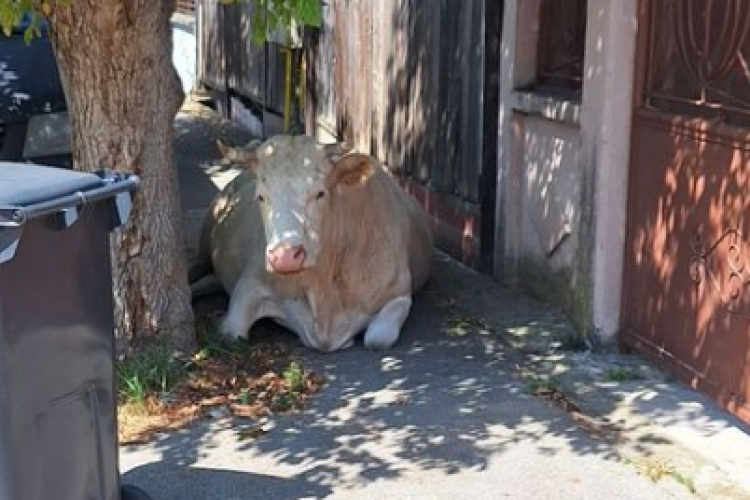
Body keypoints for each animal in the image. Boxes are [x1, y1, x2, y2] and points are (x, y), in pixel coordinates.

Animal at [194, 133, 434, 352]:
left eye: (320, 193)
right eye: (261, 197)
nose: (285, 257)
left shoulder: (399, 294)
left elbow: (378, 339)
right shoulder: (250, 283)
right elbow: (231, 334)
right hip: (205, 247)